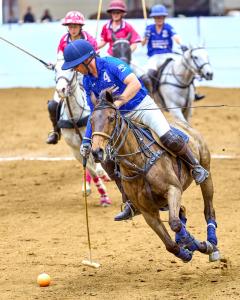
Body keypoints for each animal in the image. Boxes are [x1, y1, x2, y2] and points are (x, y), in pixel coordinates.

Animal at [54, 64, 111, 206]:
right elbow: (92, 170)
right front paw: (103, 195)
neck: (74, 117)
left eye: (71, 70)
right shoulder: (75, 149)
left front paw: (104, 175)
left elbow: (97, 167)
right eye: (55, 69)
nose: (61, 90)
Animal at [89, 91, 219, 262]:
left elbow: (175, 224)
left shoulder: (173, 189)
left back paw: (212, 244)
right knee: (182, 210)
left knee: (208, 209)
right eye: (91, 120)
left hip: (206, 172)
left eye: (111, 118)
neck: (139, 164)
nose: (97, 152)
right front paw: (186, 251)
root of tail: (183, 124)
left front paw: (197, 245)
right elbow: (170, 244)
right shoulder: (147, 211)